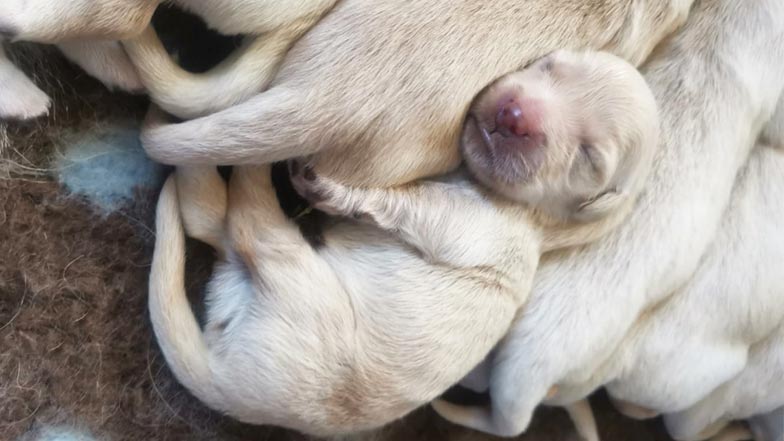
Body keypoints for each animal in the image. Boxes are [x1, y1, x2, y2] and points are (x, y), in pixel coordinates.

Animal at [147, 49, 656, 436]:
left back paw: (251, 164)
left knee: (248, 221)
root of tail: (225, 384)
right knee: (207, 217)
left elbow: (414, 207)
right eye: (550, 65)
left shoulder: (480, 226)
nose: (514, 114)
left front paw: (335, 191)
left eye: (589, 157)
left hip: (302, 294)